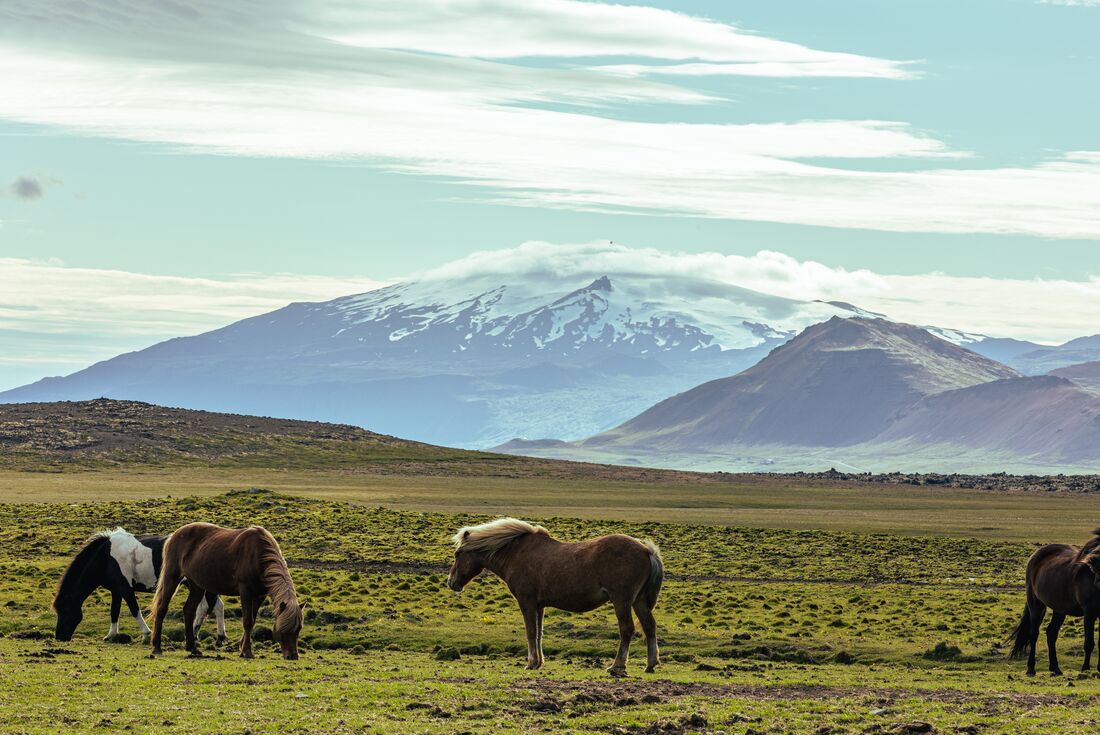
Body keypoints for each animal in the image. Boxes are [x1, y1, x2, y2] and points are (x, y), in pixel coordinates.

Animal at [54, 528, 227, 642]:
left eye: (65, 611)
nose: (59, 637)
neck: (105, 557)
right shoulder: (116, 590)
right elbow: (114, 612)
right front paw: (111, 635)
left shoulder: (125, 588)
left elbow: (134, 610)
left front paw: (146, 633)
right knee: (210, 606)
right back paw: (203, 633)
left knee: (212, 606)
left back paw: (214, 635)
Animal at [150, 521, 303, 660]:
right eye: (283, 629)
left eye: (299, 628)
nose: (293, 656)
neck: (258, 555)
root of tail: (174, 535)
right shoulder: (245, 591)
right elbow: (247, 621)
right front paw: (247, 651)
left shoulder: (260, 595)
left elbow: (252, 621)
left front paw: (242, 648)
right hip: (172, 577)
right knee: (162, 608)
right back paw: (157, 648)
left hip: (196, 585)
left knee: (189, 610)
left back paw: (192, 648)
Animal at [446, 514, 660, 673]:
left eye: (457, 554)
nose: (451, 582)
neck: (515, 554)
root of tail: (646, 550)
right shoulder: (539, 605)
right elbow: (539, 633)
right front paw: (538, 662)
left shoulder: (526, 601)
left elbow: (531, 631)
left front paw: (531, 663)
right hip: (639, 601)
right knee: (649, 626)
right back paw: (650, 664)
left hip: (621, 600)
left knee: (626, 629)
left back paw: (617, 666)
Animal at [1007, 528, 1100, 677]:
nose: (1098, 583)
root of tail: (1035, 555)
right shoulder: (1089, 612)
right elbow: (1089, 643)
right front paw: (1085, 668)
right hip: (1036, 604)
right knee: (1034, 633)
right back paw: (1031, 669)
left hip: (1059, 609)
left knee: (1051, 633)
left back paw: (1055, 668)